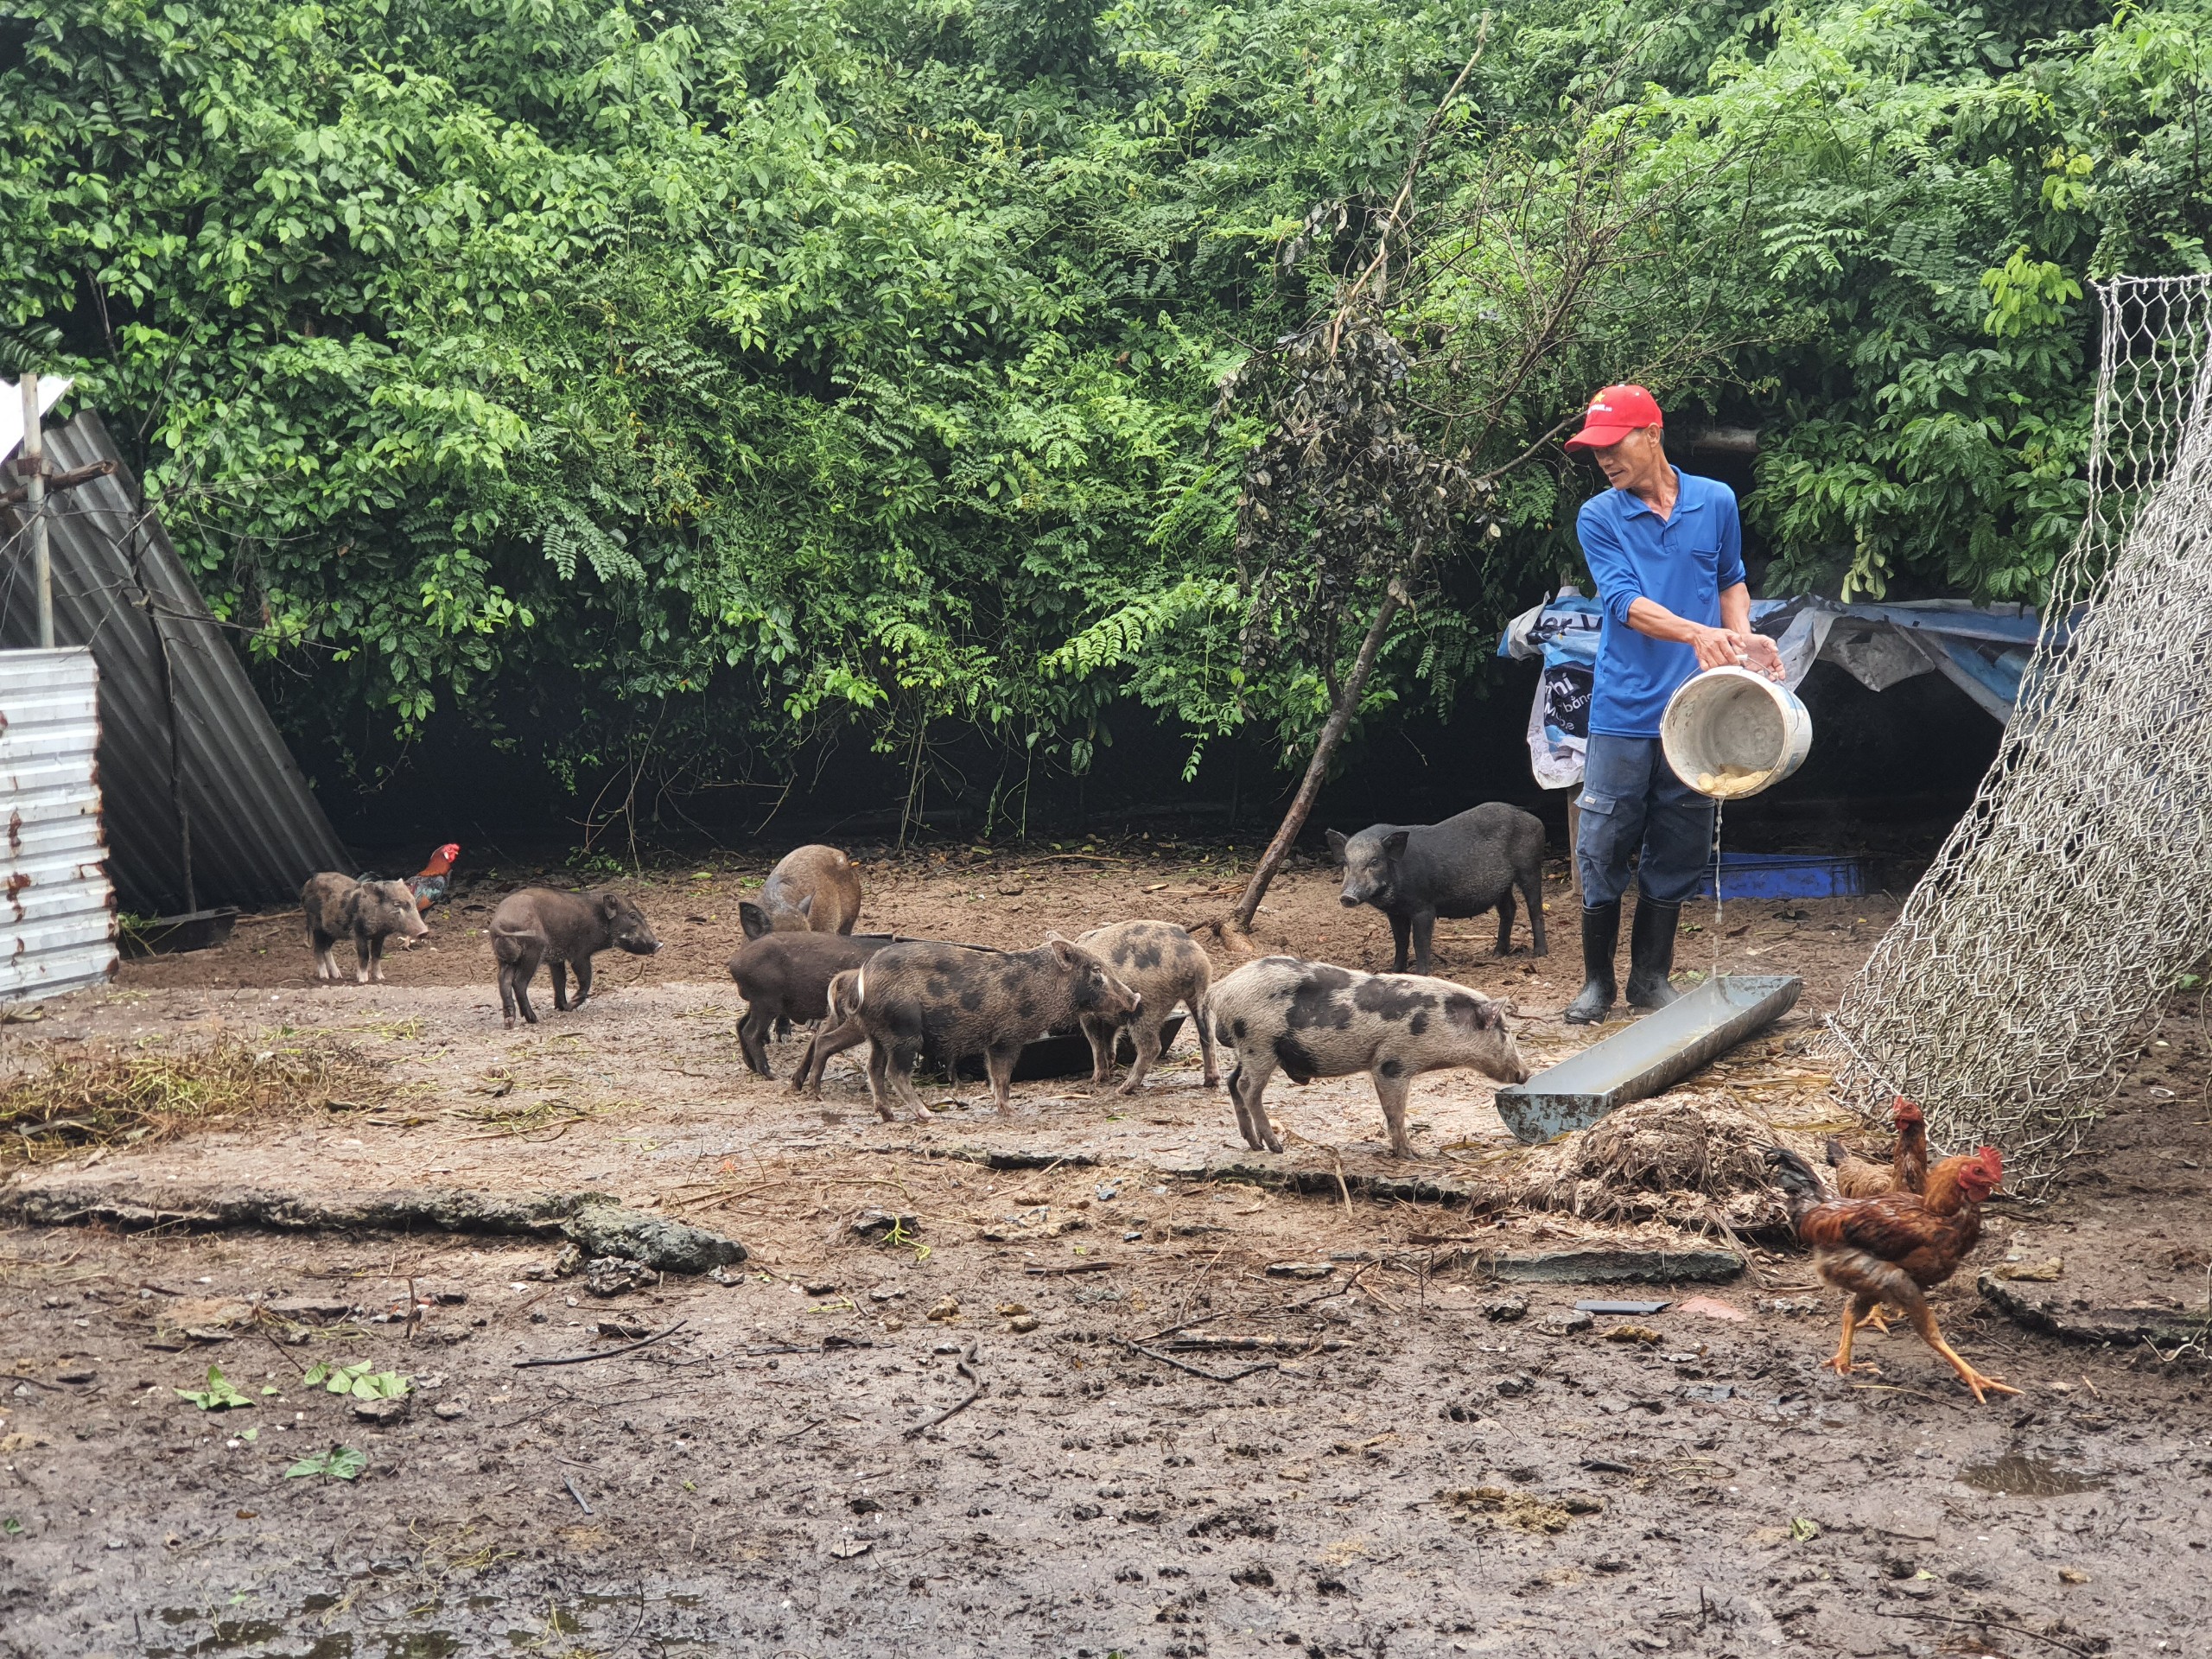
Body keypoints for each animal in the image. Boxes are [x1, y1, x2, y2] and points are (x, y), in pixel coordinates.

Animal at [1203, 955, 1530, 1159]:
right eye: (1505, 1031)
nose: (1525, 1074)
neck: (1440, 1022)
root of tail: (1218, 990)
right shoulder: (1392, 1062)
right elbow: (1395, 1111)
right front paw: (1413, 1155)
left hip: (1248, 1048)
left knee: (1233, 1083)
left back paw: (1254, 1144)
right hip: (1259, 1043)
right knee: (1248, 1088)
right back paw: (1275, 1147)